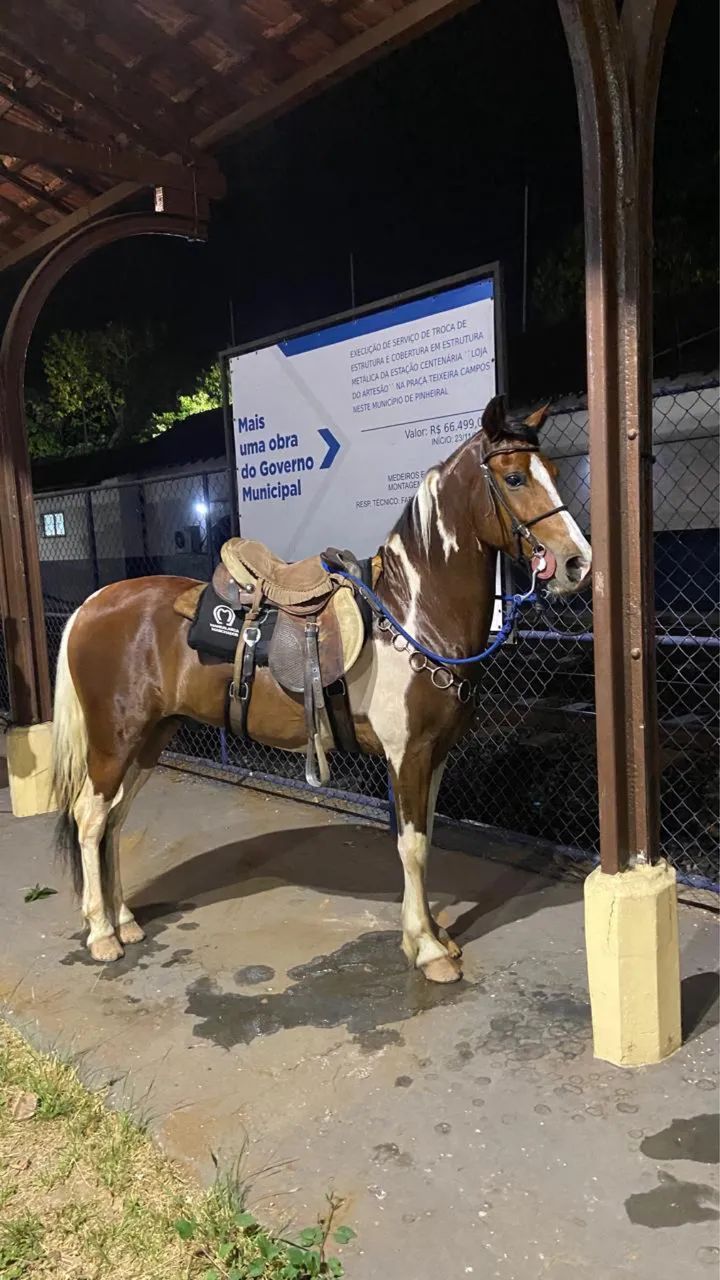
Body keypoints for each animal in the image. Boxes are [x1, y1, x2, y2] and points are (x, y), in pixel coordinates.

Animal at [51, 395, 591, 983]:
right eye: (514, 477)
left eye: (555, 469)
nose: (577, 563)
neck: (412, 615)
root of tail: (91, 604)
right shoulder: (407, 754)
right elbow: (412, 847)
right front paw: (426, 950)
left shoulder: (436, 754)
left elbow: (426, 836)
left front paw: (435, 936)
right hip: (114, 740)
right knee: (90, 819)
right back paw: (102, 934)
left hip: (151, 738)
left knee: (114, 820)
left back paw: (124, 920)